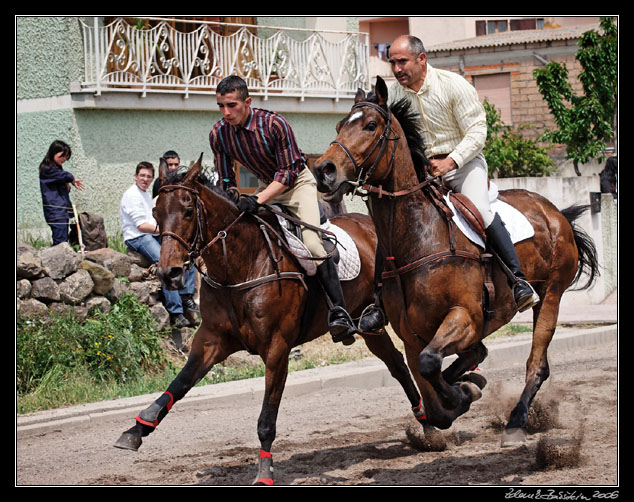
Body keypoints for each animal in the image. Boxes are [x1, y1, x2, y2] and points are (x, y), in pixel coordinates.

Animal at [115, 155, 430, 484]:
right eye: (155, 213)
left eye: (188, 211)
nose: (169, 273)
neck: (240, 265)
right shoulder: (210, 340)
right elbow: (180, 384)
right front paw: (137, 429)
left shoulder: (277, 347)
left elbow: (267, 418)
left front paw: (265, 472)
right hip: (368, 322)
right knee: (396, 364)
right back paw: (427, 423)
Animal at [312, 77, 596, 448]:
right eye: (338, 126)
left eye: (370, 125)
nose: (323, 170)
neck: (419, 238)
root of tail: (555, 212)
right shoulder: (411, 335)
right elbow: (433, 398)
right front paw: (463, 393)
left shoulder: (465, 317)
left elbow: (431, 365)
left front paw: (464, 394)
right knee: (477, 356)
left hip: (550, 296)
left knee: (536, 364)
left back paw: (516, 421)